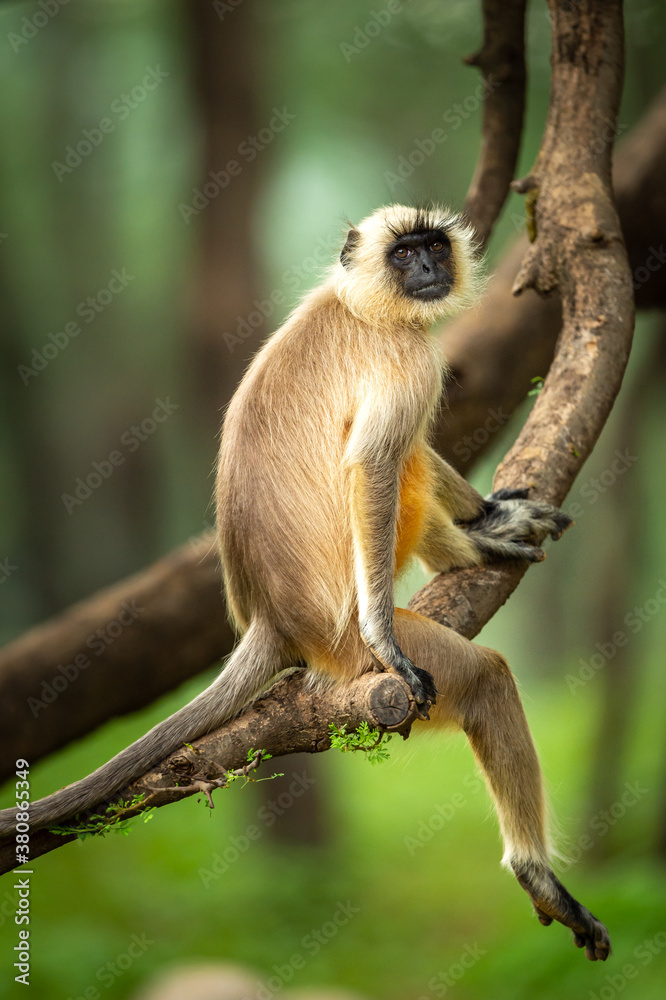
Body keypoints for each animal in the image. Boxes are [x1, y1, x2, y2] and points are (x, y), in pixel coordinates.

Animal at [0, 204, 609, 961]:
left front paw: (493, 513)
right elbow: (372, 466)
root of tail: (275, 619)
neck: (357, 303)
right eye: (404, 255)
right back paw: (535, 871)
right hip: (348, 650)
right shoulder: (404, 358)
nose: (428, 268)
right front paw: (405, 618)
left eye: (433, 247)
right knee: (479, 663)